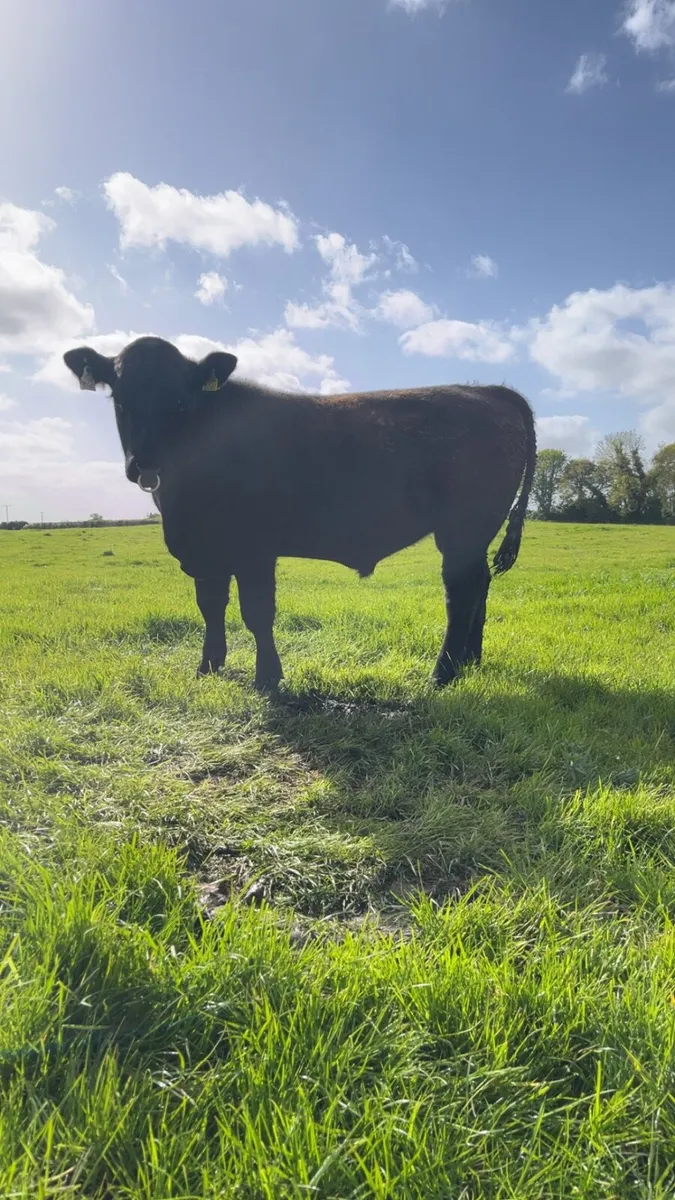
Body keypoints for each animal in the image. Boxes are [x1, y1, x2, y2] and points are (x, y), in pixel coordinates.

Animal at [64, 337, 535, 691]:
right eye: (120, 399)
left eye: (181, 402)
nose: (145, 462)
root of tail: (487, 390)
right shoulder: (205, 553)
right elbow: (211, 607)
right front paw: (209, 666)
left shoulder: (254, 550)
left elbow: (257, 612)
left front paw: (267, 679)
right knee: (480, 586)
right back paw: (471, 662)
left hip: (462, 531)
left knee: (462, 592)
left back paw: (443, 673)